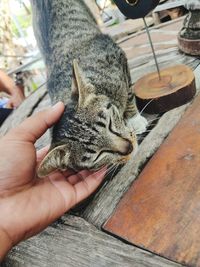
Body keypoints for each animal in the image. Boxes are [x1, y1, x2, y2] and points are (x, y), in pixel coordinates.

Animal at [30, 0, 147, 178]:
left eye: (109, 124)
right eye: (98, 154)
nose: (129, 147)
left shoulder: (117, 56)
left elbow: (128, 94)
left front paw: (135, 119)